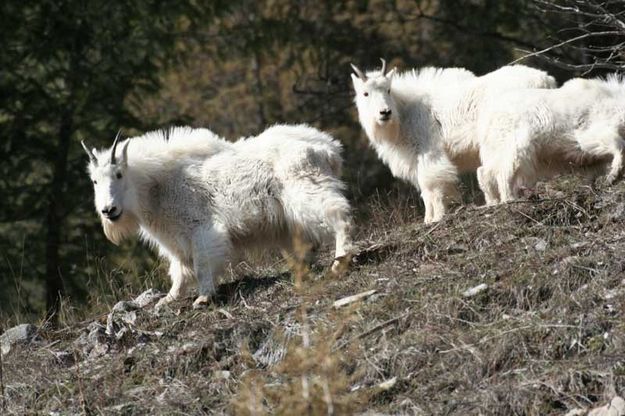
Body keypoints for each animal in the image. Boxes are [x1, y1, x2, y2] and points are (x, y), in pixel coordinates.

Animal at [83, 125, 354, 308]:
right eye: (94, 180)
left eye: (118, 174)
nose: (108, 210)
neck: (156, 187)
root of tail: (329, 150)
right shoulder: (174, 239)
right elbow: (180, 270)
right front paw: (167, 299)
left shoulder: (201, 229)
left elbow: (202, 264)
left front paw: (203, 297)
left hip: (306, 190)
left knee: (338, 215)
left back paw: (339, 261)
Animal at [352, 59, 556, 223]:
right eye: (365, 93)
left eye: (388, 90)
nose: (385, 113)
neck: (404, 114)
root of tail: (547, 80)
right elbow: (425, 191)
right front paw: (429, 219)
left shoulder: (429, 154)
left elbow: (431, 189)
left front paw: (435, 218)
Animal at [476, 75, 624, 205]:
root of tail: (487, 118)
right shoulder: (590, 130)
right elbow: (614, 144)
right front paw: (614, 175)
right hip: (515, 144)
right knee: (505, 170)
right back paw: (510, 198)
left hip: (496, 147)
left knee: (485, 171)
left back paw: (492, 200)